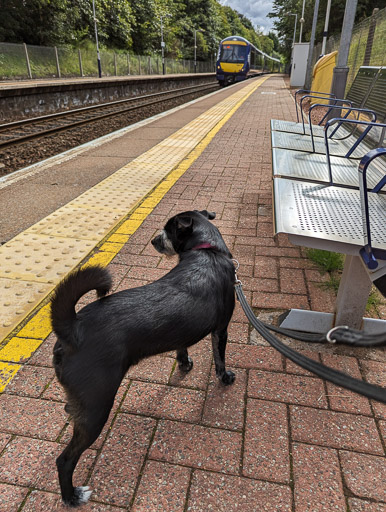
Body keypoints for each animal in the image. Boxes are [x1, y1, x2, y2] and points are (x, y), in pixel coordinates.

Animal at [50, 210, 238, 506]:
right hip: (97, 407)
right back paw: (72, 496)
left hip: (85, 401)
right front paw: (225, 377)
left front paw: (184, 364)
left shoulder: (184, 333)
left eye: (167, 231)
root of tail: (73, 329)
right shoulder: (221, 329)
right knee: (65, 460)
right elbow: (219, 359)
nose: (153, 240)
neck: (206, 251)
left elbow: (182, 348)